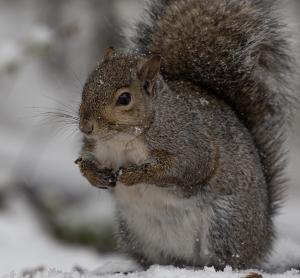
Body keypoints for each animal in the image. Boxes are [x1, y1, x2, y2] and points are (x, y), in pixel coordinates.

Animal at [74, 0, 292, 270]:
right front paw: (94, 174)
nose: (86, 127)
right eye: (86, 87)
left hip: (225, 225)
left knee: (231, 258)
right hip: (136, 233)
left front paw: (135, 174)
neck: (122, 139)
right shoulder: (96, 147)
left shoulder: (190, 141)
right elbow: (86, 159)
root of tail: (264, 236)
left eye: (124, 98)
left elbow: (186, 167)